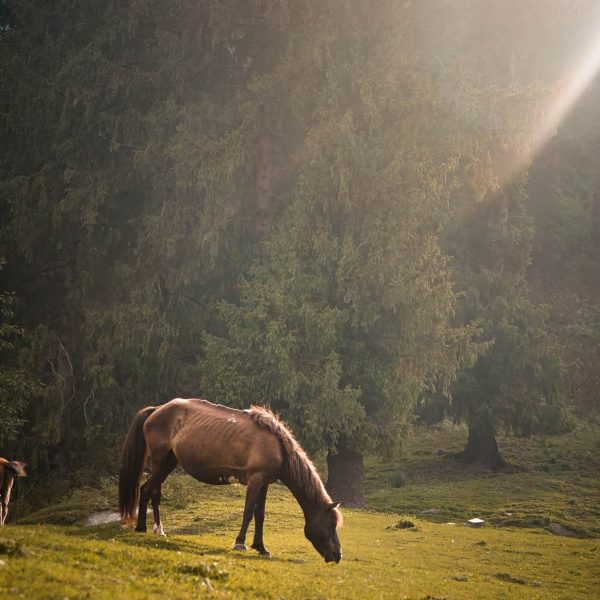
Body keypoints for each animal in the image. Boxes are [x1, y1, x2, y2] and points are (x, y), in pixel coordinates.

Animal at [118, 398, 342, 564]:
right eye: (331, 524)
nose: (338, 555)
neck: (278, 447)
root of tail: (156, 410)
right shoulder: (255, 480)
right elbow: (248, 512)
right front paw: (240, 543)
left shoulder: (265, 483)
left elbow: (260, 515)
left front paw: (261, 548)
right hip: (159, 460)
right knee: (154, 491)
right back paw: (158, 529)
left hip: (169, 462)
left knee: (146, 489)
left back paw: (143, 528)